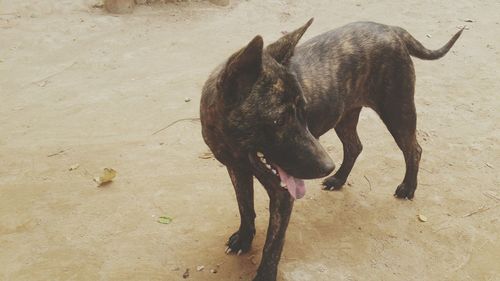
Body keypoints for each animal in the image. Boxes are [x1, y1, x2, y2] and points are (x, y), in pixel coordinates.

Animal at [198, 18, 460, 278]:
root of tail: (391, 29)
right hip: (345, 116)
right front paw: (244, 239)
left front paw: (265, 274)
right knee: (355, 147)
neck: (234, 143)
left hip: (397, 111)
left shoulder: (283, 193)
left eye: (304, 112)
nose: (327, 166)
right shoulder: (236, 169)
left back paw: (407, 187)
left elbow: (273, 244)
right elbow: (245, 207)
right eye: (278, 120)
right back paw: (339, 179)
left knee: (413, 150)